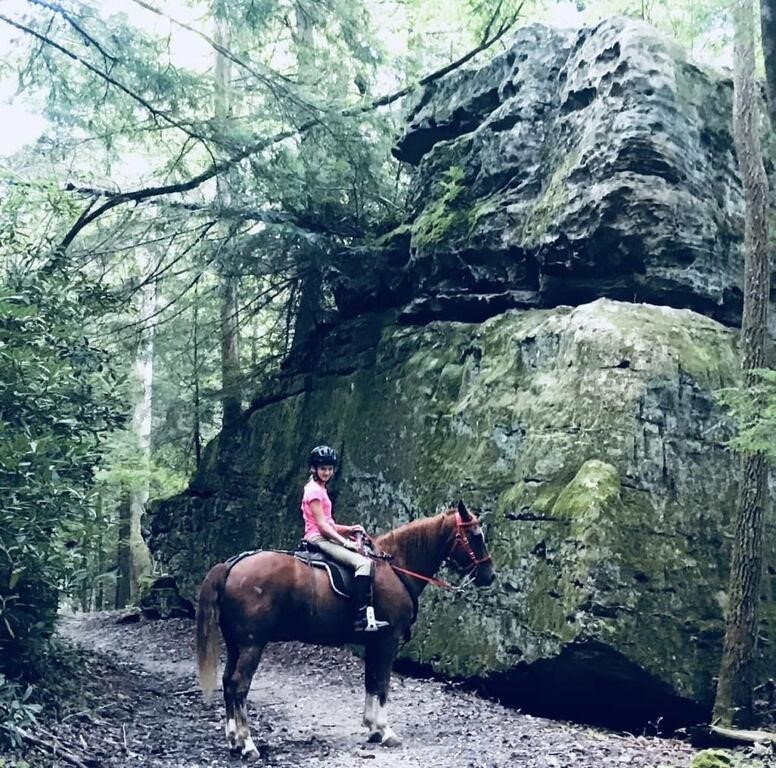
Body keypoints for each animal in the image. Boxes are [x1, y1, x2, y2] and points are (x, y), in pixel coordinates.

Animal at [197, 500, 494, 760]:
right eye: (476, 536)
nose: (489, 575)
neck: (395, 567)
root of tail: (232, 565)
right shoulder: (388, 640)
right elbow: (383, 684)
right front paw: (385, 731)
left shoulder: (374, 642)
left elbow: (371, 681)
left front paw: (372, 728)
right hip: (252, 645)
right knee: (238, 685)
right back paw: (248, 745)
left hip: (235, 645)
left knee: (227, 682)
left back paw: (233, 740)